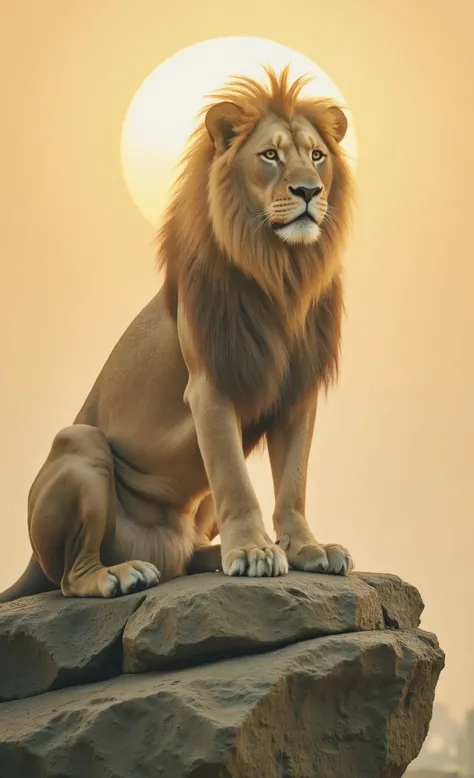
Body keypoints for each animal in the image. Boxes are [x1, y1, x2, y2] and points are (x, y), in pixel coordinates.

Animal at [0, 66, 355, 602]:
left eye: (317, 156)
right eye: (270, 155)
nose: (310, 191)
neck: (282, 273)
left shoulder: (298, 393)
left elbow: (294, 482)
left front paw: (305, 548)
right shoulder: (209, 386)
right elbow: (233, 477)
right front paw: (253, 551)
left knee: (183, 557)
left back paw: (208, 556)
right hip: (79, 442)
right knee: (69, 576)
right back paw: (121, 574)